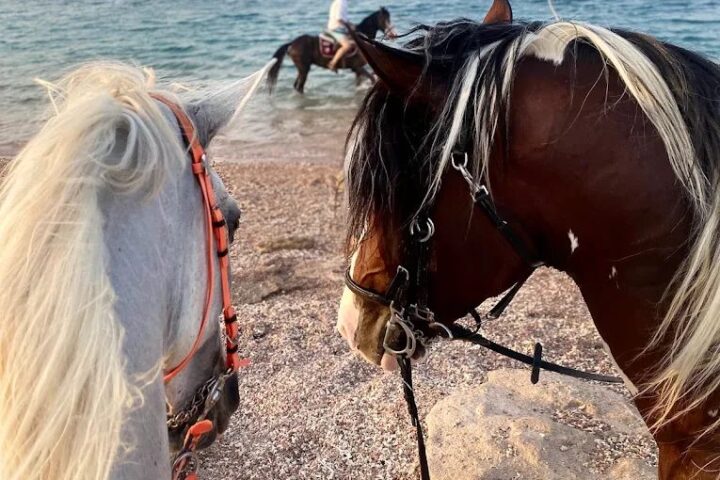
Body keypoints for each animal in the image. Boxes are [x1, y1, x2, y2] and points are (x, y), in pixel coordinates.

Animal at [266, 7, 396, 94]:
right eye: (386, 19)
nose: (393, 34)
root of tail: (292, 43)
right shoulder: (357, 67)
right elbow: (372, 78)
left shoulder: (357, 70)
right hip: (304, 69)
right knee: (299, 86)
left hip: (302, 69)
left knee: (296, 86)